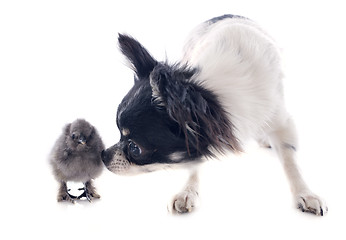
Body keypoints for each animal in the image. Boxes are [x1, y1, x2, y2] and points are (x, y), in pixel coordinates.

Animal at [102, 14, 328, 215]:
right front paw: (188, 191)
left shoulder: (280, 120)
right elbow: (194, 163)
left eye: (135, 148)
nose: (103, 155)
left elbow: (291, 161)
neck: (212, 92)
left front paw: (305, 193)